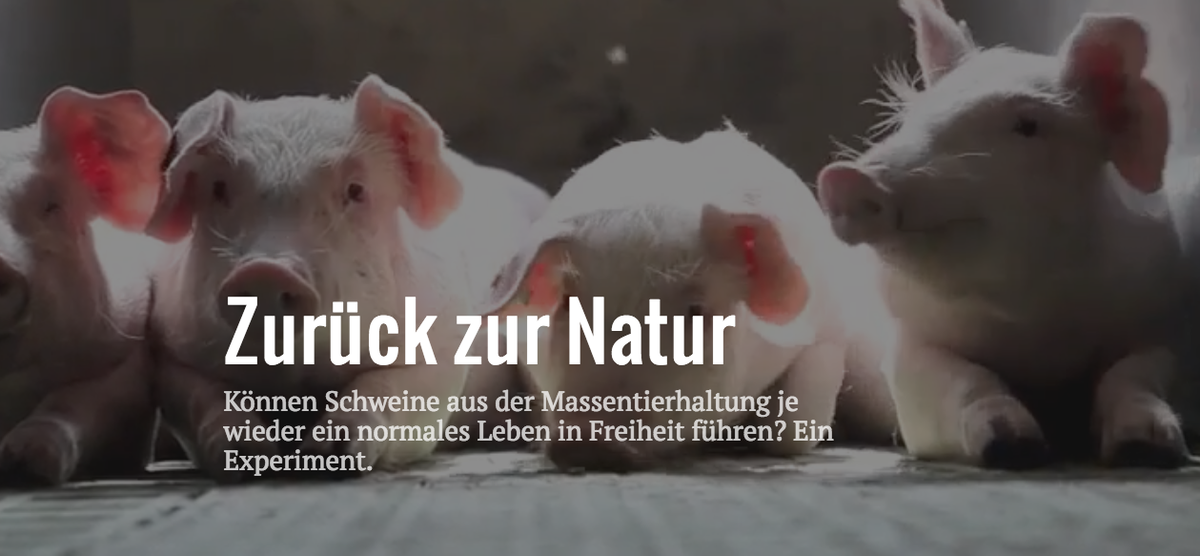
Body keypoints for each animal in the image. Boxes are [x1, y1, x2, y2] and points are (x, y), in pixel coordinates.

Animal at [143, 74, 541, 483]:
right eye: (219, 189)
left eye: (355, 190)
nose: (268, 270)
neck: (297, 378)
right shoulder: (172, 349)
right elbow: (206, 397)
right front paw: (249, 455)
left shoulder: (443, 343)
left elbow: (387, 385)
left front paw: (327, 455)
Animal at [814, 0, 1189, 469]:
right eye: (911, 120)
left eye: (1027, 126)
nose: (844, 178)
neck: (1036, 328)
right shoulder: (907, 346)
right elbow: (965, 379)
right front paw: (1016, 448)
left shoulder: (1157, 326)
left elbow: (1133, 374)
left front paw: (1149, 448)